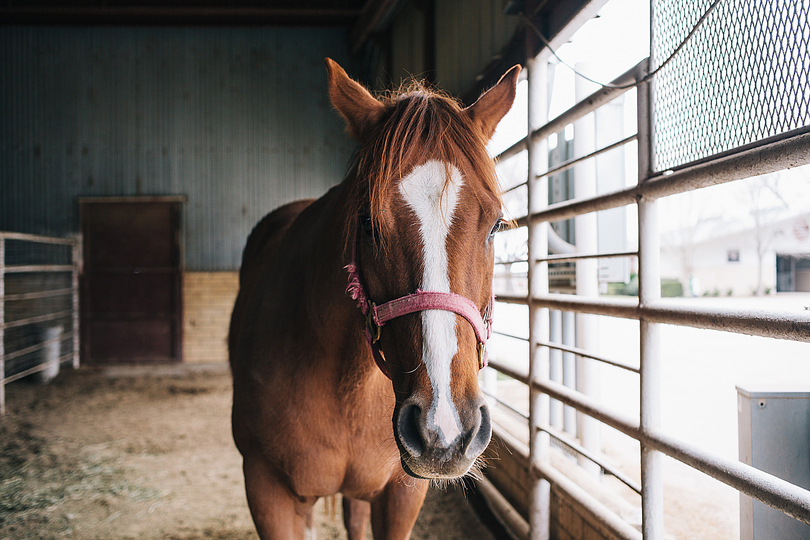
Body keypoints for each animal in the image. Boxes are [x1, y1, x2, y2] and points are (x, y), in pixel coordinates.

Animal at [227, 60, 516, 540]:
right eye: (366, 222)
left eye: (495, 225)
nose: (445, 429)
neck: (347, 385)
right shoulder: (267, 491)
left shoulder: (400, 493)